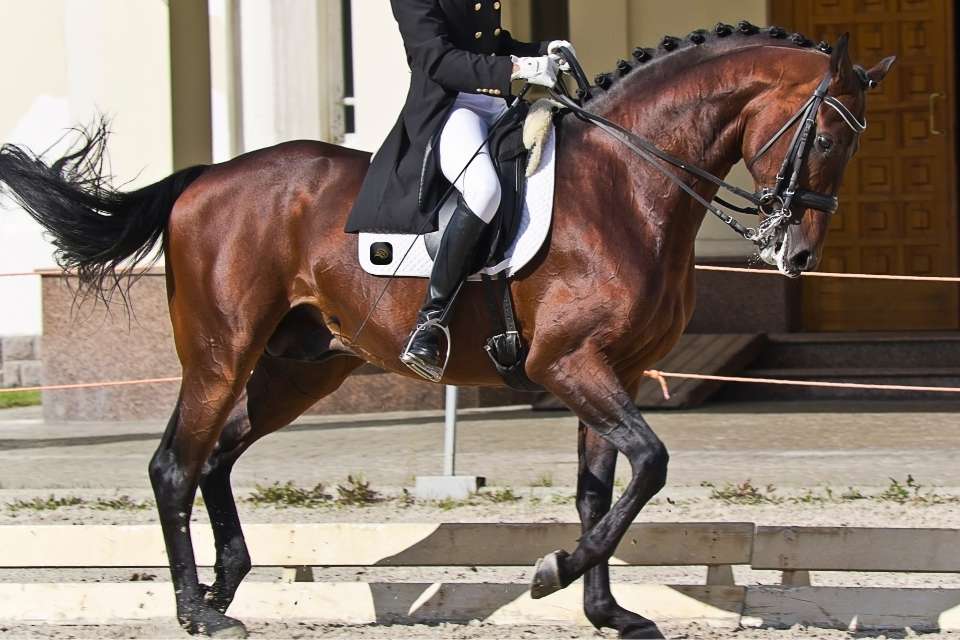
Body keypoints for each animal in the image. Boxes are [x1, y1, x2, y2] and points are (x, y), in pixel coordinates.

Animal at [0, 24, 893, 639]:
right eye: (825, 136)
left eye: (854, 145)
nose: (796, 253)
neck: (629, 184)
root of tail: (206, 176)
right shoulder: (571, 364)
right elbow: (650, 464)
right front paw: (551, 574)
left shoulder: (620, 370)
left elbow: (604, 487)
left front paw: (606, 610)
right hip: (222, 354)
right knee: (174, 466)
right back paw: (197, 609)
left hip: (299, 368)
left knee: (216, 457)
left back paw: (225, 589)